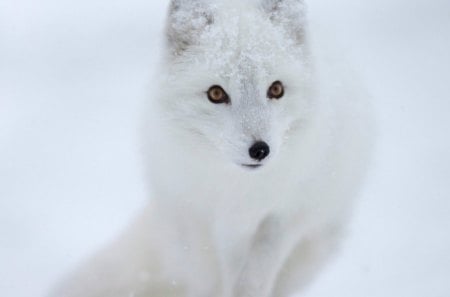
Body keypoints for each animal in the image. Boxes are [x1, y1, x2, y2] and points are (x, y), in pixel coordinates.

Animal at [51, 0, 372, 296]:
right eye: (216, 94)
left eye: (276, 89)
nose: (260, 150)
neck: (237, 190)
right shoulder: (198, 219)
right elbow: (211, 279)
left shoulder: (286, 216)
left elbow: (254, 277)